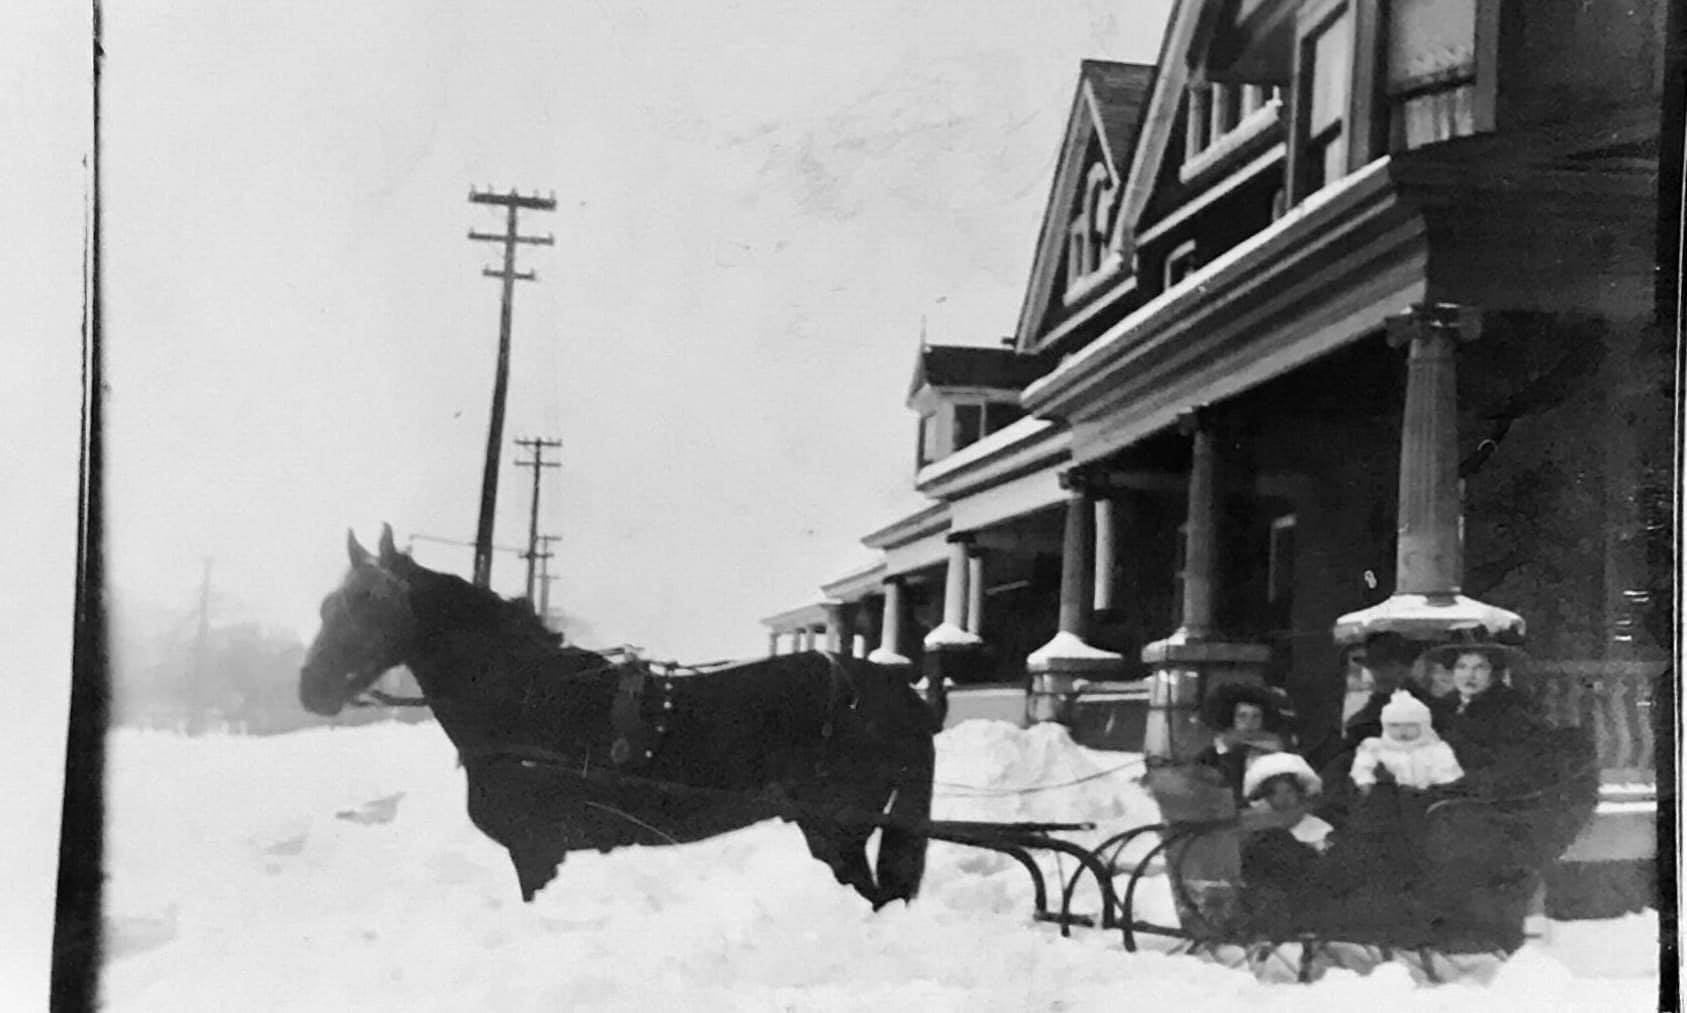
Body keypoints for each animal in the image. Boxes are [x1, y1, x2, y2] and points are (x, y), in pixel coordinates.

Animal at [300, 526, 937, 904]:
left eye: (371, 607)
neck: (527, 700)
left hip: (840, 830)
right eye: (328, 606)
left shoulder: (537, 851)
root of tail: (894, 684)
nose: (310, 690)